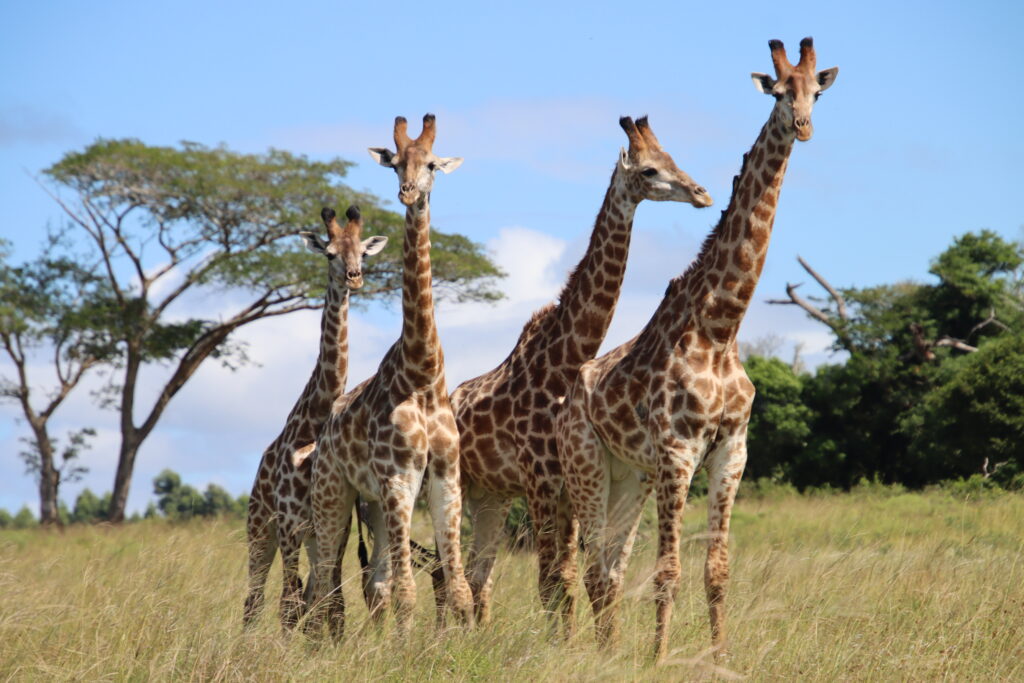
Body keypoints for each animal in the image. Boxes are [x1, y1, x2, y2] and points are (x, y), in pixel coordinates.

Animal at [243, 205, 388, 630]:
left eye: (363, 253)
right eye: (330, 254)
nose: (354, 277)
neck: (315, 418)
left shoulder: (332, 526)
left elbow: (328, 605)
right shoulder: (290, 523)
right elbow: (290, 606)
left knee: (310, 598)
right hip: (260, 529)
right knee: (255, 600)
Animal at [309, 114, 473, 639]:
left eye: (433, 164)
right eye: (396, 162)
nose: (407, 192)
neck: (422, 372)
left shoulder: (445, 475)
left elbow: (458, 587)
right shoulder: (399, 476)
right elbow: (408, 590)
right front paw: (408, 649)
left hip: (373, 503)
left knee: (373, 581)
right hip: (335, 493)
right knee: (326, 581)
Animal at [447, 116, 713, 631]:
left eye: (672, 158)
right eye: (650, 170)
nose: (702, 193)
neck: (567, 359)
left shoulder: (562, 486)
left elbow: (567, 578)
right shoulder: (541, 480)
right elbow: (553, 581)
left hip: (492, 494)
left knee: (478, 575)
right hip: (461, 486)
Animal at [556, 38, 838, 660]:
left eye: (818, 91)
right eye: (778, 93)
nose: (803, 126)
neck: (721, 328)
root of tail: (566, 399)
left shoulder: (732, 451)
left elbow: (717, 570)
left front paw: (720, 657)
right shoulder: (679, 452)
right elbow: (668, 572)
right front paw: (661, 658)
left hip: (629, 475)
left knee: (608, 567)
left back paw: (611, 653)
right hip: (586, 464)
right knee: (591, 567)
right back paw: (604, 654)